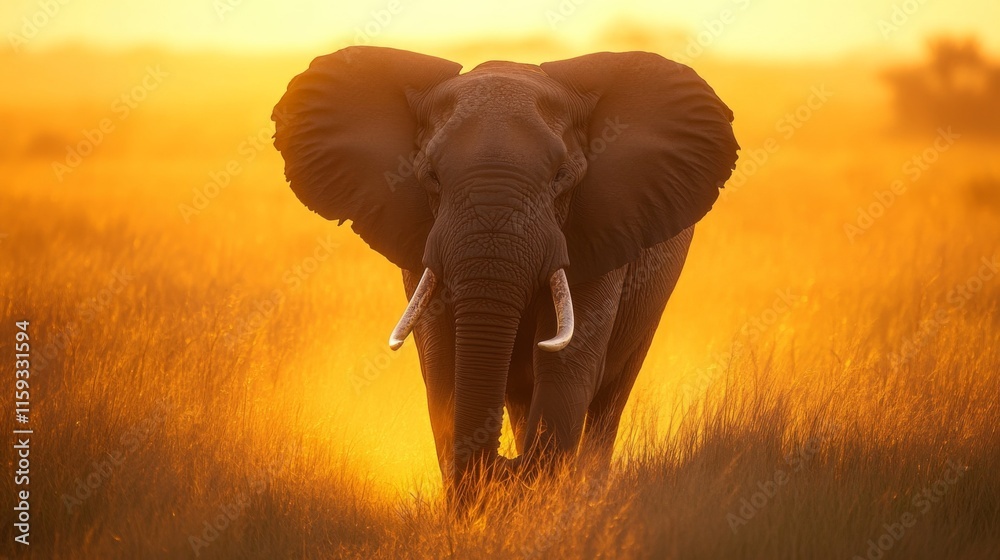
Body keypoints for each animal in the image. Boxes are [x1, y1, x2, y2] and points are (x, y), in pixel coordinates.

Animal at [272, 46, 738, 506]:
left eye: (561, 178)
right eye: (430, 177)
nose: (505, 468)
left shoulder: (602, 230)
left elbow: (567, 366)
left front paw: (536, 502)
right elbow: (442, 366)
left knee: (609, 398)